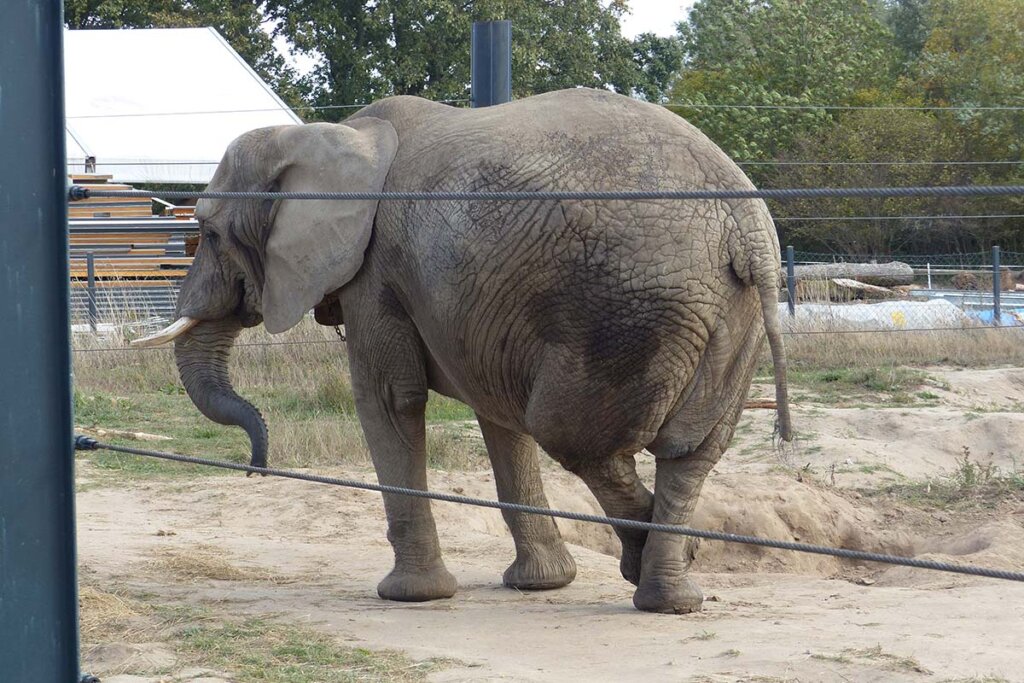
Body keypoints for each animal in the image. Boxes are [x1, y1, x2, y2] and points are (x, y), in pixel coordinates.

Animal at [136, 88, 792, 614]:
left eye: (209, 232)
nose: (256, 468)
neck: (336, 136)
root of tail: (747, 229)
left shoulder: (375, 272)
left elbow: (389, 400)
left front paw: (411, 597)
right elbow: (495, 410)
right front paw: (543, 584)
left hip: (632, 306)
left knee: (576, 437)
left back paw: (656, 566)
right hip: (726, 316)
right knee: (687, 452)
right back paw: (674, 586)